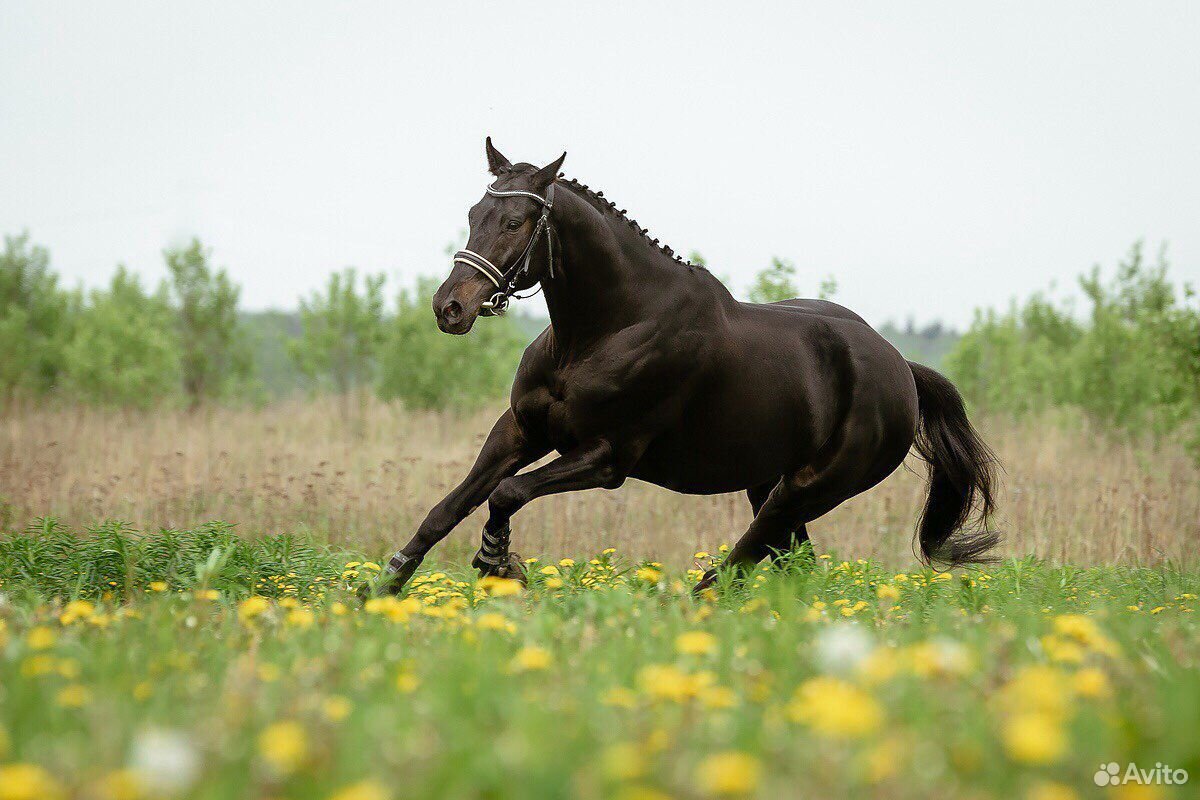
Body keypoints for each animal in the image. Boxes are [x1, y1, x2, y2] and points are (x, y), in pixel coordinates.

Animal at [379, 139, 998, 594]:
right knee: (791, 566)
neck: (603, 331)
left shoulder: (607, 457)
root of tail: (902, 370)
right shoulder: (521, 431)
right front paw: (383, 586)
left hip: (809, 488)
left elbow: (506, 493)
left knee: (743, 561)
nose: (450, 307)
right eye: (475, 212)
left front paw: (498, 562)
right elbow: (451, 506)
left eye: (515, 222)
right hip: (769, 483)